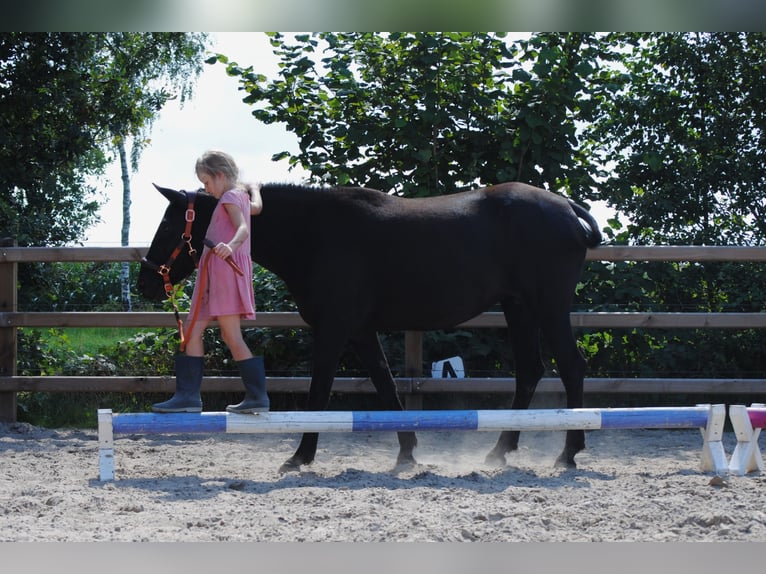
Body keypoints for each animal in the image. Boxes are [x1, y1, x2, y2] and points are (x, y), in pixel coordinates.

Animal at [137, 182, 602, 472]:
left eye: (169, 224)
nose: (145, 283)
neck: (314, 234)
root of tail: (567, 208)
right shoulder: (360, 332)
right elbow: (387, 387)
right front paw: (408, 454)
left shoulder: (333, 330)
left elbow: (319, 393)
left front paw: (300, 457)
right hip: (518, 308)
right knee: (530, 372)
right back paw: (500, 451)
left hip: (548, 306)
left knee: (572, 367)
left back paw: (568, 452)